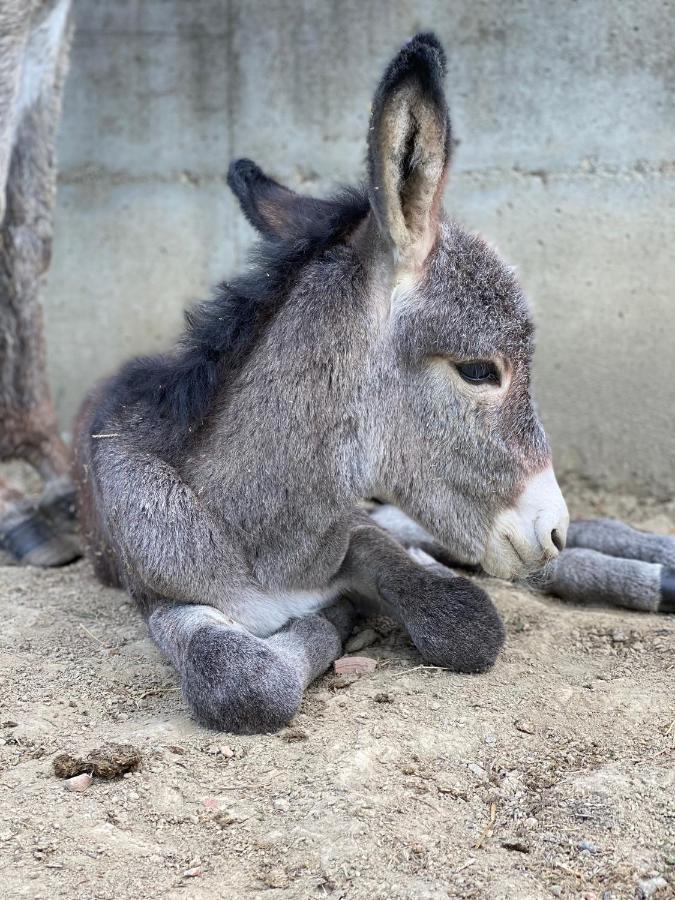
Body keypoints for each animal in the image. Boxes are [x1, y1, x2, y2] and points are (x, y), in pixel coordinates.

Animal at [74, 37, 572, 740]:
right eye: (479, 370)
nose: (556, 533)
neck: (261, 533)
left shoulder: (354, 529)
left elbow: (464, 617)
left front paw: (362, 605)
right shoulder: (163, 594)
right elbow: (244, 681)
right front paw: (329, 621)